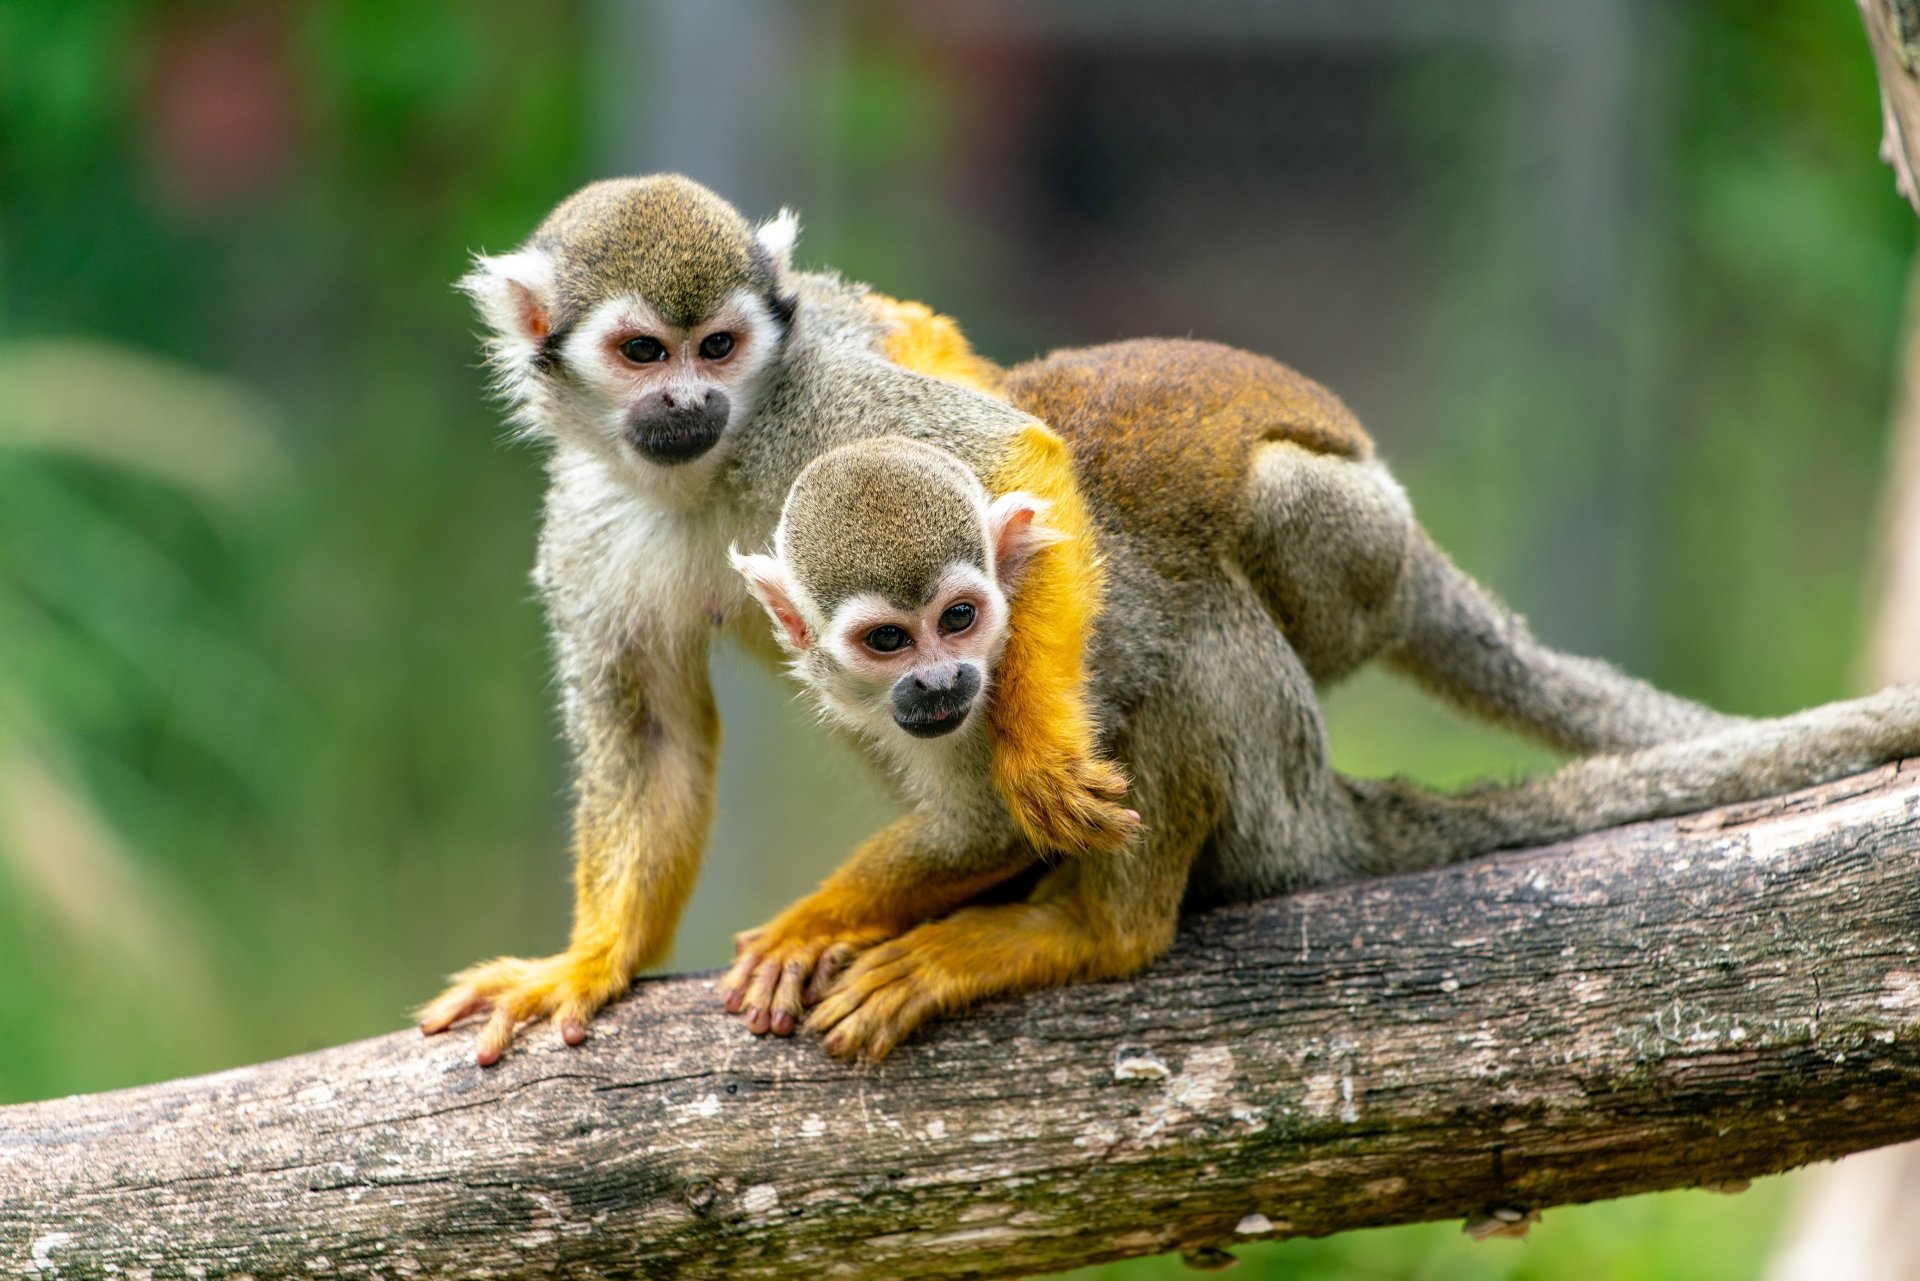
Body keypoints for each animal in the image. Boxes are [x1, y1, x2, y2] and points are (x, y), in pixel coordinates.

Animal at [417, 175, 1134, 1064]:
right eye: (644, 352)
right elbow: (651, 733)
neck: (706, 476)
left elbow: (1012, 452)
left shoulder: (807, 396)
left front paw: (1040, 757)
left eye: (719, 346)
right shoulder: (590, 519)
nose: (691, 398)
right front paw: (591, 957)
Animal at [730, 423, 1920, 1060]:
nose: (941, 680)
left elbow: (1007, 811)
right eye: (888, 639)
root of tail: (1327, 807)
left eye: (963, 618)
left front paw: (813, 920)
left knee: (1196, 656)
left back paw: (1093, 932)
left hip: (1271, 797)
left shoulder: (1037, 666)